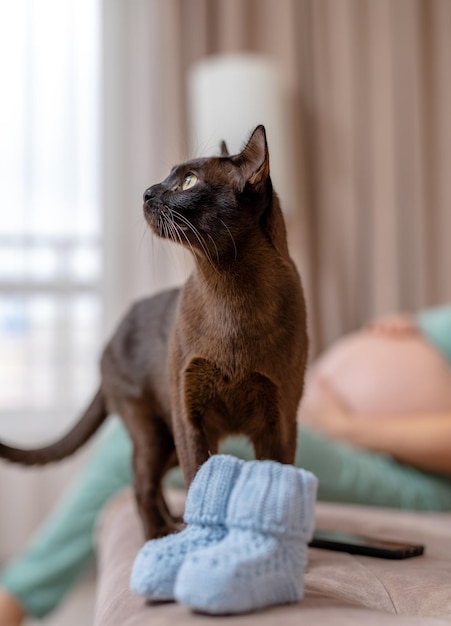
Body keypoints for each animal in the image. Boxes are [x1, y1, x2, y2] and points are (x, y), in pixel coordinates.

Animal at [0, 125, 308, 536]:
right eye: (168, 177)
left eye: (188, 181)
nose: (147, 192)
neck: (231, 291)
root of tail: (110, 340)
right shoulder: (188, 413)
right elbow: (197, 481)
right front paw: (197, 539)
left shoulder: (280, 419)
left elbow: (274, 480)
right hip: (155, 431)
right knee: (140, 485)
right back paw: (159, 535)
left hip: (169, 440)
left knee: (152, 483)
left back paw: (172, 525)